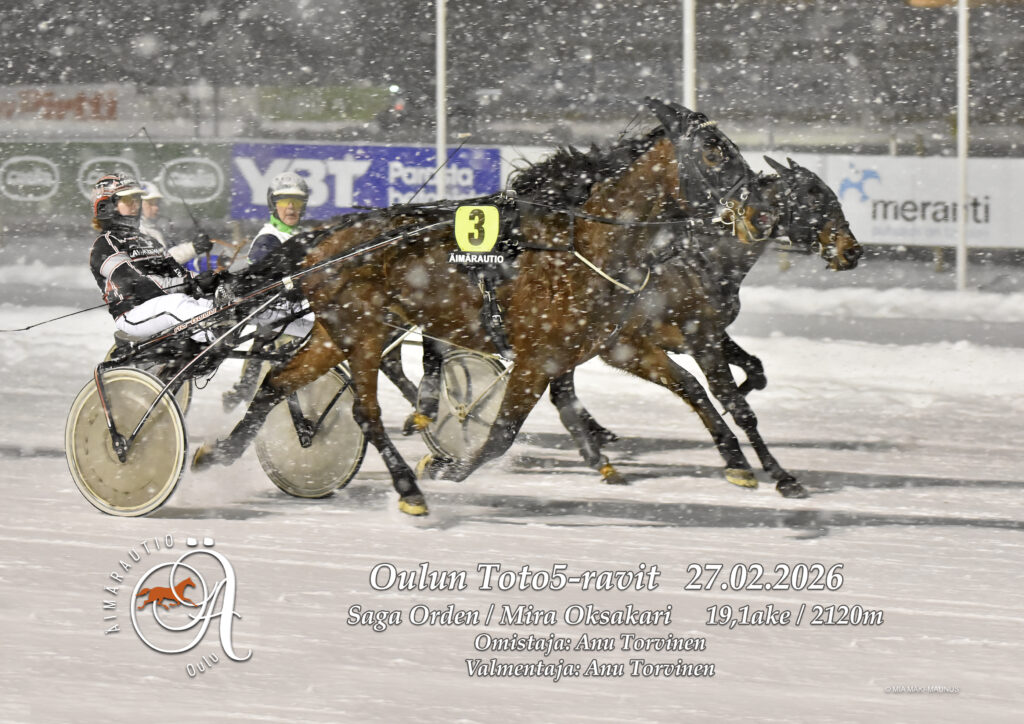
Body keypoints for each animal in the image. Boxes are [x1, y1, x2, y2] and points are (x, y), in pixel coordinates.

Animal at [191, 98, 771, 515]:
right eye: (714, 151)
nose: (756, 205)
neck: (578, 245)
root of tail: (322, 242)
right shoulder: (538, 356)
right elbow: (501, 433)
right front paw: (446, 467)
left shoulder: (592, 348)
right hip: (366, 331)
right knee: (363, 410)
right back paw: (407, 486)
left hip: (337, 331)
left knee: (278, 382)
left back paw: (219, 451)